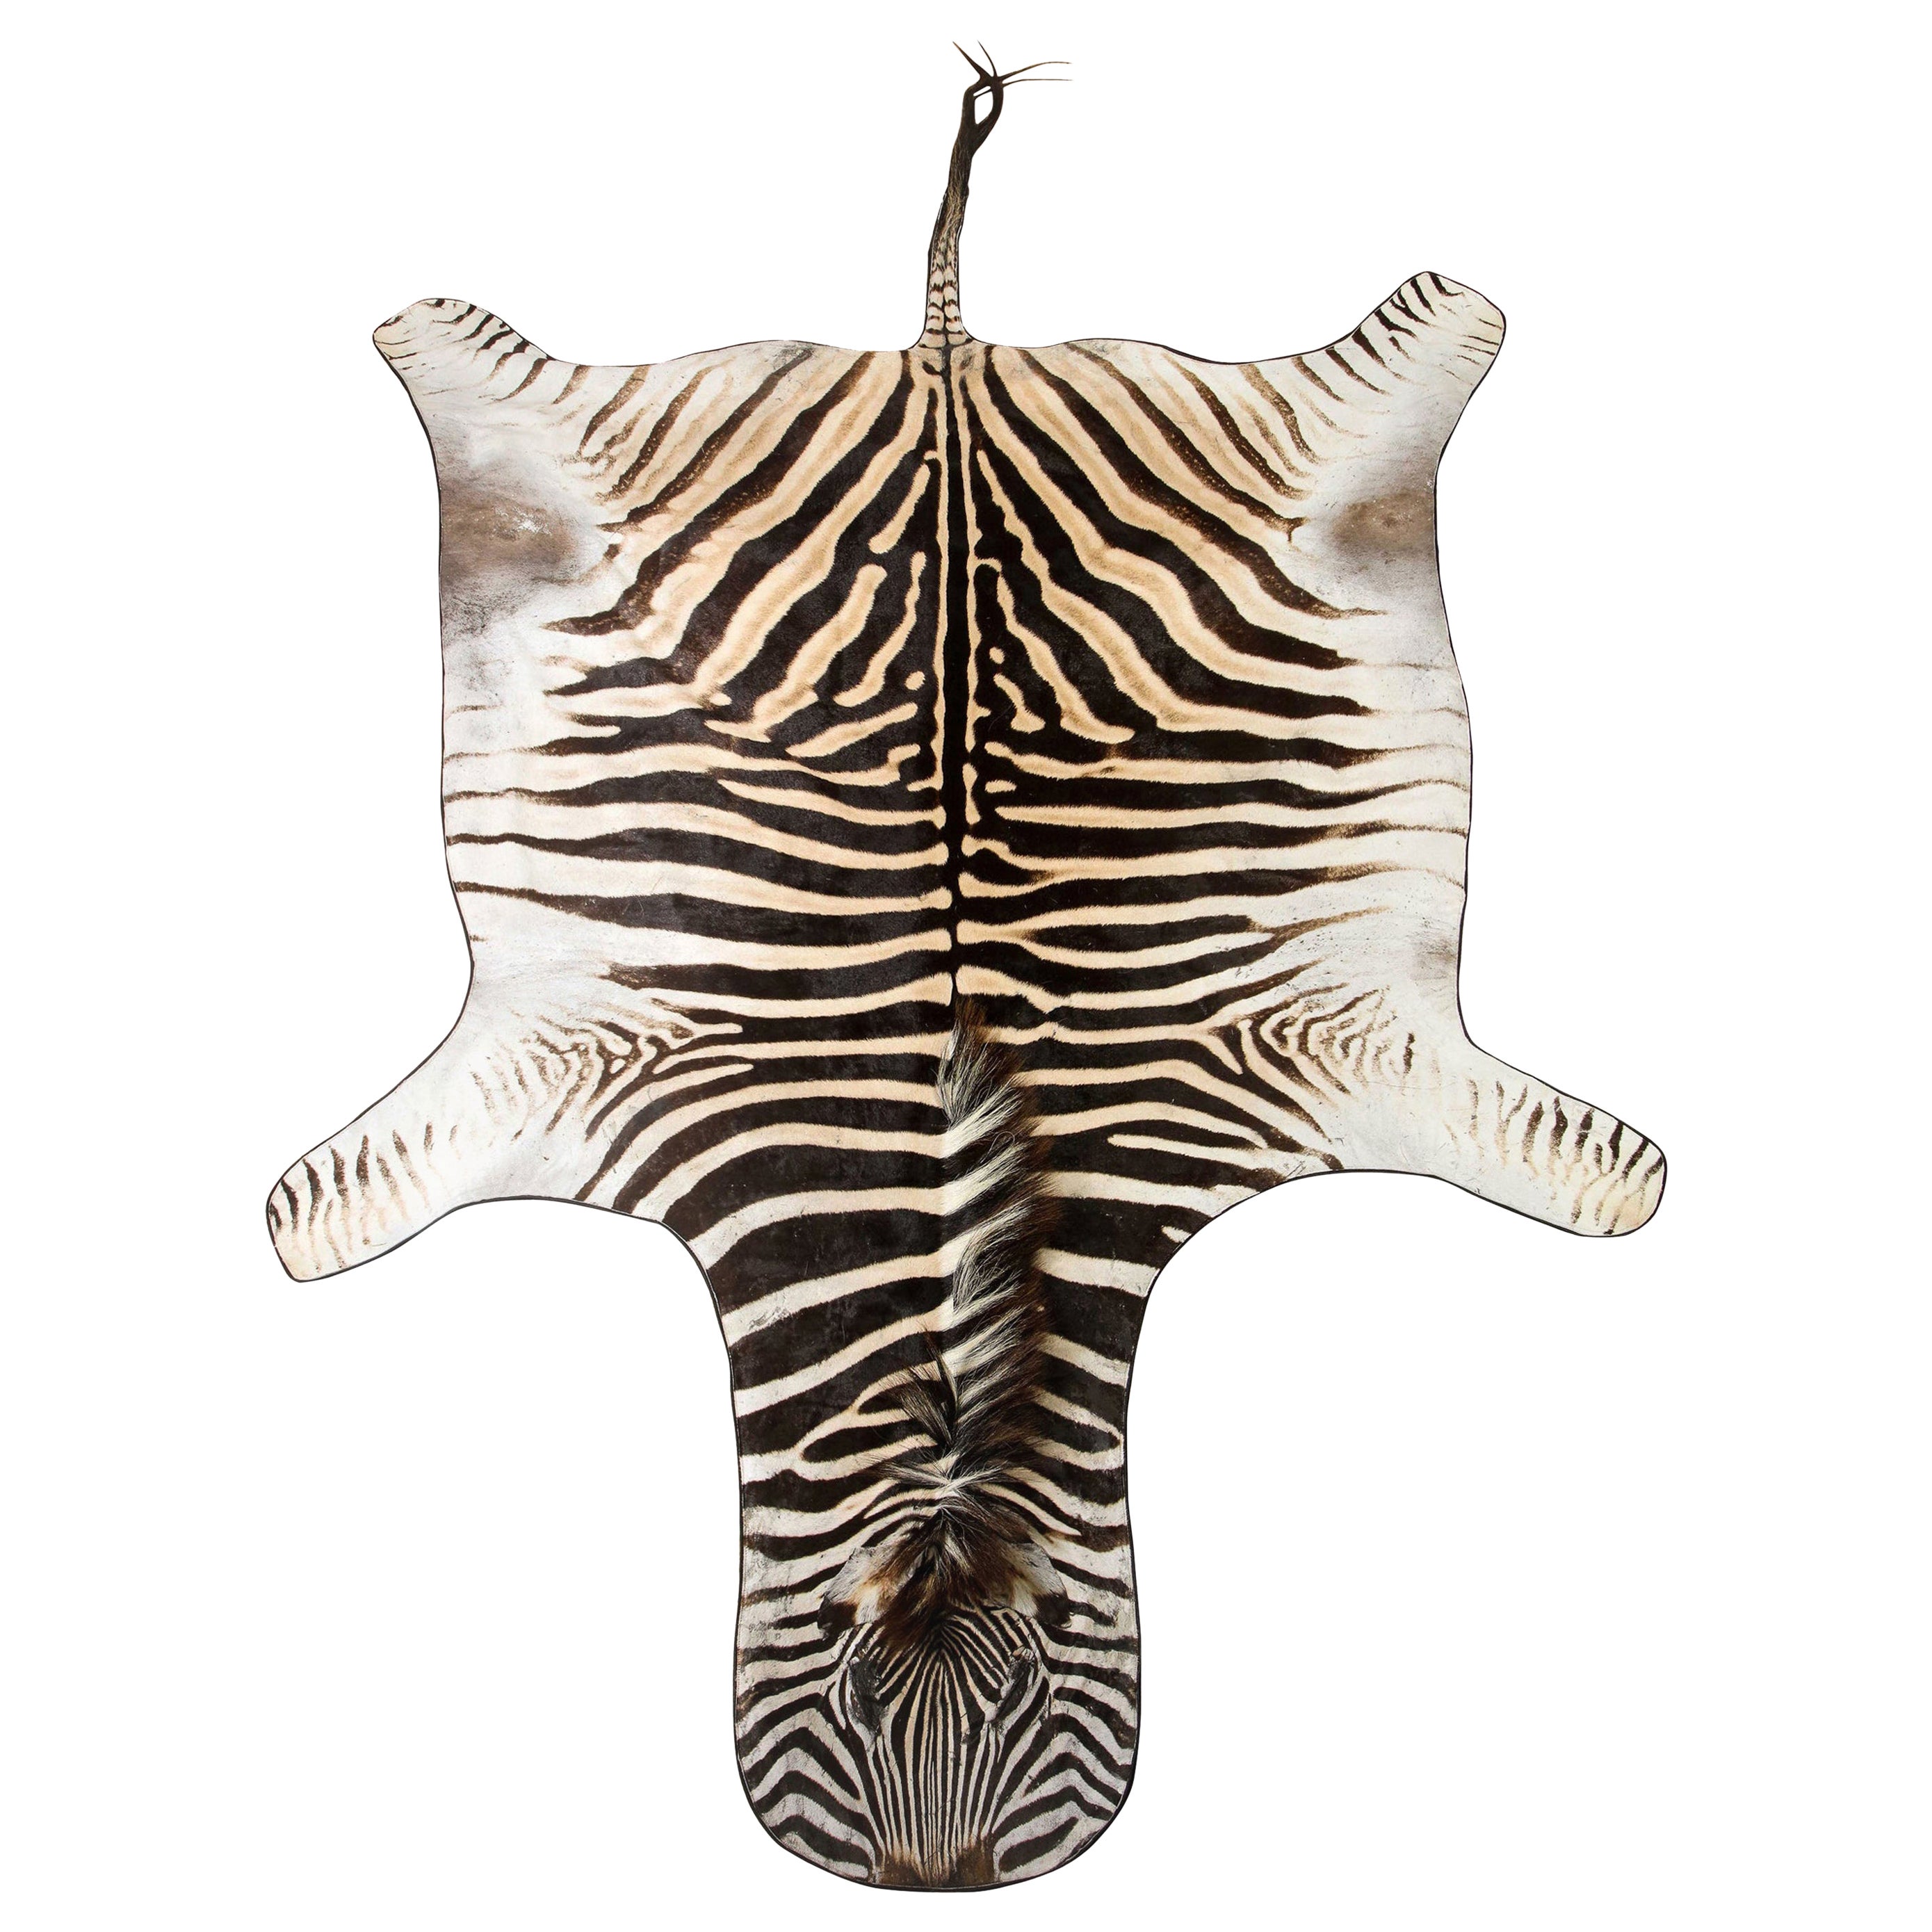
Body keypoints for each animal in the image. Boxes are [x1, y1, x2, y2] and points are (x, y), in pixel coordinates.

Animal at [267, 49, 1665, 1889]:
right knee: (454, 340)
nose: (933, 1881)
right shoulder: (572, 1062)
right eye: (863, 1704)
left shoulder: (1336, 1048)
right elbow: (341, 1196)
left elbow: (1581, 1161)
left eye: (1015, 1699)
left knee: (1437, 321)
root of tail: (943, 355)